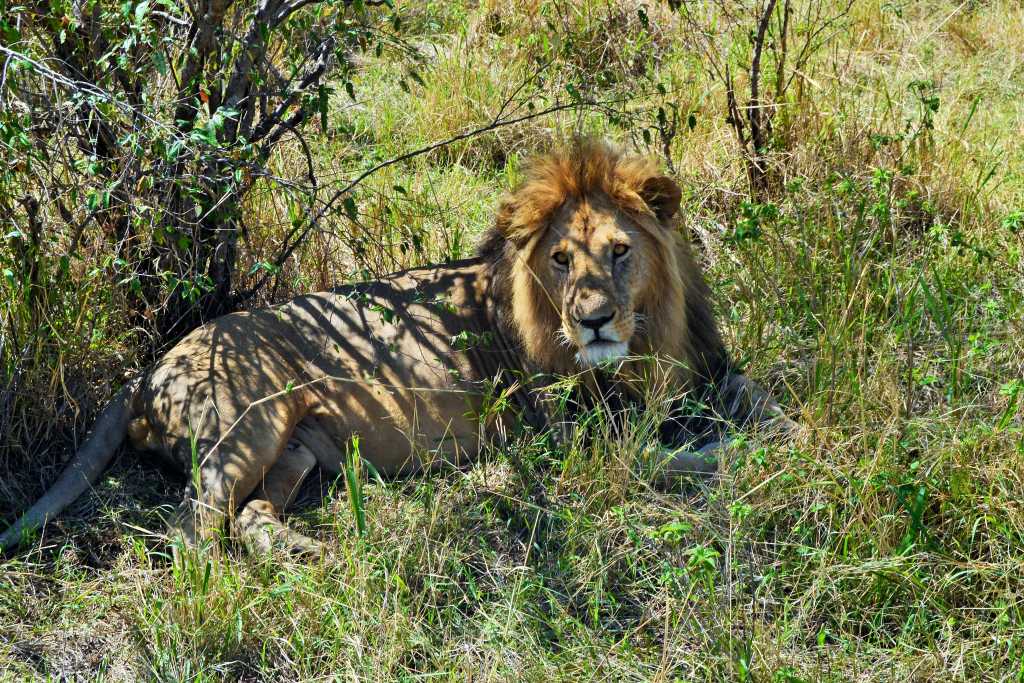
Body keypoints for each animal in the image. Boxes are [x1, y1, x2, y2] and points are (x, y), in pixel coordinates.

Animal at [0, 139, 794, 557]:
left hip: (293, 447)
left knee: (250, 517)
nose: (595, 320)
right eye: (562, 260)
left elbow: (760, 398)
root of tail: (147, 370)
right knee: (190, 527)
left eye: (620, 251)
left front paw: (790, 424)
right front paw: (761, 456)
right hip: (250, 418)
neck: (648, 340)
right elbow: (687, 457)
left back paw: (313, 556)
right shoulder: (576, 439)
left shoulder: (705, 369)